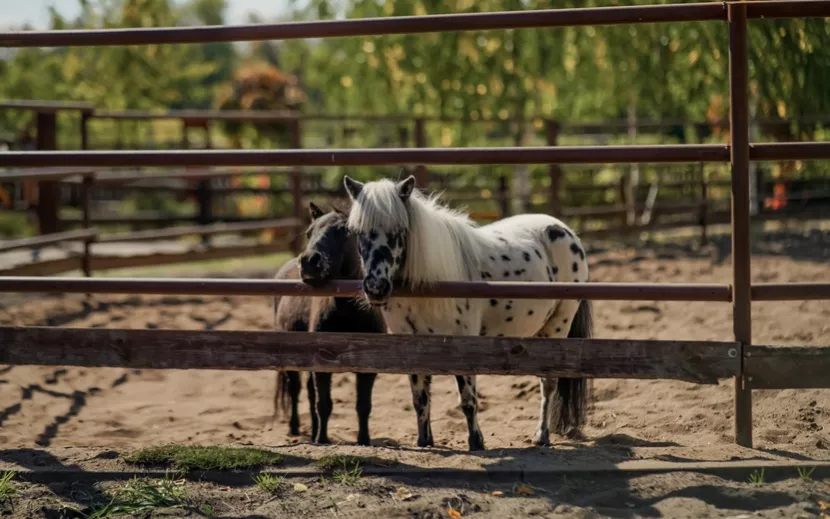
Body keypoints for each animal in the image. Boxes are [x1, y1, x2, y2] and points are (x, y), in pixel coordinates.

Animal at [274, 201, 388, 444]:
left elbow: (363, 406)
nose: (309, 262)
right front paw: (322, 440)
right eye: (308, 233)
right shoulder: (322, 367)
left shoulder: (367, 369)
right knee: (295, 390)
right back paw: (295, 428)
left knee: (308, 392)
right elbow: (324, 404)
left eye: (343, 231)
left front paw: (363, 440)